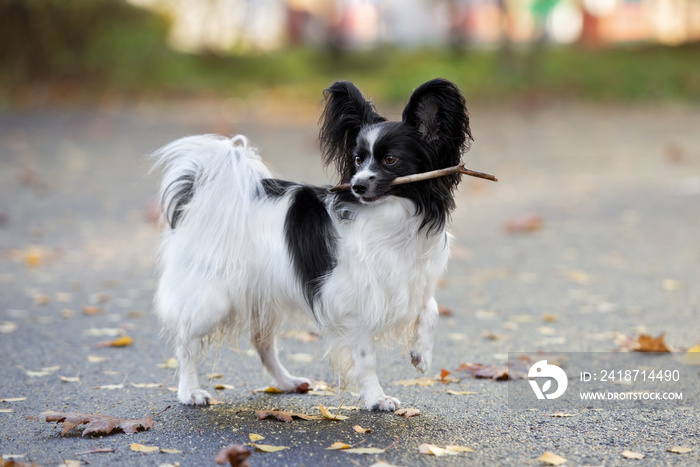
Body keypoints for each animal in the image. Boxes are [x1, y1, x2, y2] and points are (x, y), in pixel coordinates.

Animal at [151, 77, 474, 410]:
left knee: (262, 342)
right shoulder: (352, 304)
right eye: (357, 160)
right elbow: (366, 357)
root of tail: (202, 196)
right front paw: (376, 398)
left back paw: (286, 382)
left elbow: (430, 309)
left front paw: (422, 354)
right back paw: (189, 391)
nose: (357, 185)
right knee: (186, 342)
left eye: (390, 159)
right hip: (211, 299)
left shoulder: (408, 282)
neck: (392, 218)